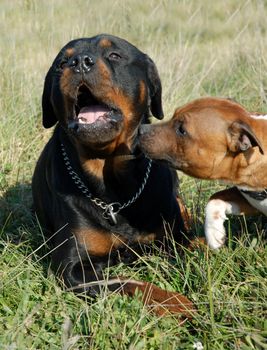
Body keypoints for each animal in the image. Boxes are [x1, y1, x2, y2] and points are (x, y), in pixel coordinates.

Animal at [32, 34, 195, 318]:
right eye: (62, 63)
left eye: (115, 56)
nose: (79, 62)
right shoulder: (73, 269)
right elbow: (127, 283)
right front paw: (174, 301)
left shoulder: (173, 237)